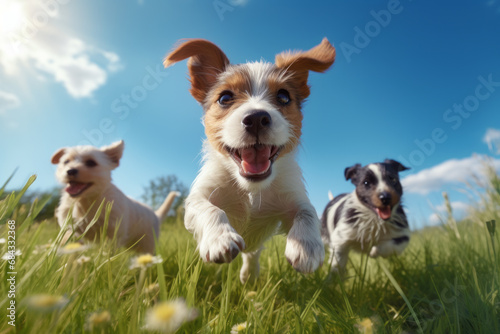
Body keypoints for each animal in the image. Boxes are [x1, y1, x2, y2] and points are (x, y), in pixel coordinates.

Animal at [50, 140, 179, 253]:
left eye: (91, 163)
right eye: (66, 162)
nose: (70, 171)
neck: (86, 201)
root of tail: (156, 215)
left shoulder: (113, 233)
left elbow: (107, 252)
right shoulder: (71, 228)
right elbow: (69, 242)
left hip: (147, 244)